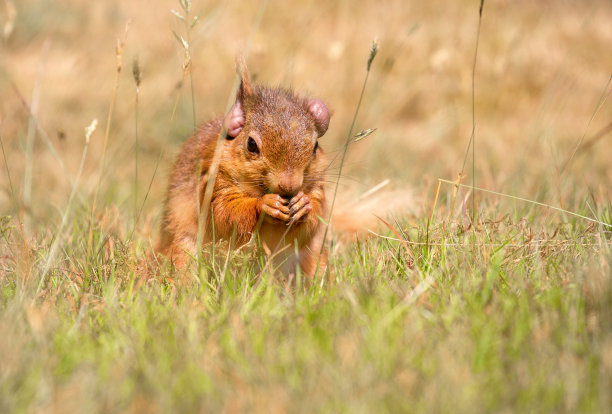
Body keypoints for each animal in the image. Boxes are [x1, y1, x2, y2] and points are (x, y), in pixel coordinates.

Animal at [157, 59, 330, 276]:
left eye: (315, 147)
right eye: (251, 144)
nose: (289, 186)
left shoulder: (317, 187)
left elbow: (309, 227)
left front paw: (303, 204)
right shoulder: (214, 182)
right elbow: (224, 214)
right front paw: (264, 205)